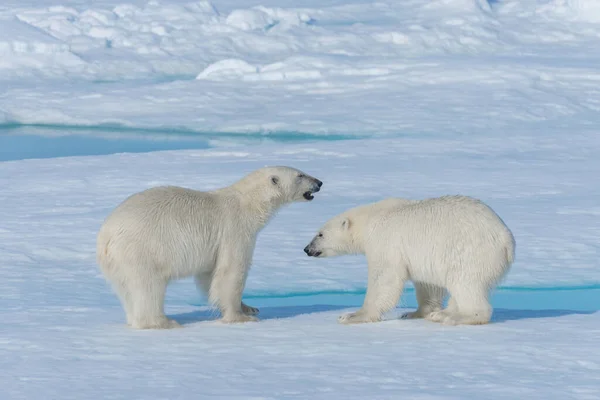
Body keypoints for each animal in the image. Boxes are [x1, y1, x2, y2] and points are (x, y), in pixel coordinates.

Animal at [97, 165, 324, 328]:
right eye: (300, 175)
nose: (320, 182)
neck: (249, 202)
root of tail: (105, 236)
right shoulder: (234, 230)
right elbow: (230, 271)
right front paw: (240, 317)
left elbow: (209, 275)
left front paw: (249, 308)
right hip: (141, 250)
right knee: (148, 286)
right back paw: (162, 322)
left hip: (116, 263)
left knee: (126, 289)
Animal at [304, 196, 516, 324]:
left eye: (320, 234)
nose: (307, 249)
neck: (370, 218)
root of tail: (506, 239)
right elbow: (428, 284)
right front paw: (414, 313)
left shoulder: (385, 241)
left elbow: (384, 278)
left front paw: (352, 315)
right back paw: (443, 313)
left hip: (472, 252)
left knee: (465, 282)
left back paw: (455, 317)